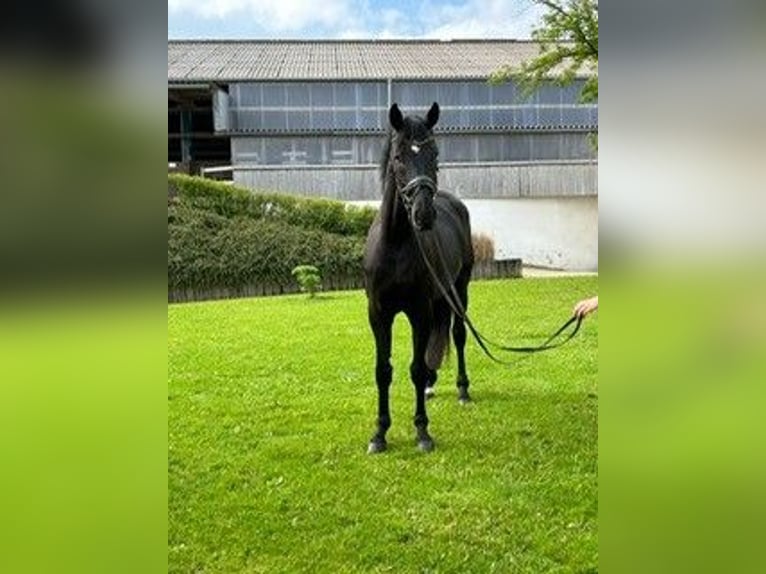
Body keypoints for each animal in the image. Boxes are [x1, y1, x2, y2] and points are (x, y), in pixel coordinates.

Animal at [364, 102, 474, 454]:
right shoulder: (379, 314)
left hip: (459, 290)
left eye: (434, 154)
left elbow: (414, 366)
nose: (424, 215)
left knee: (458, 335)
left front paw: (422, 431)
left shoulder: (418, 311)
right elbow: (383, 371)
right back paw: (431, 385)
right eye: (399, 157)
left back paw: (463, 389)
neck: (396, 242)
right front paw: (379, 433)